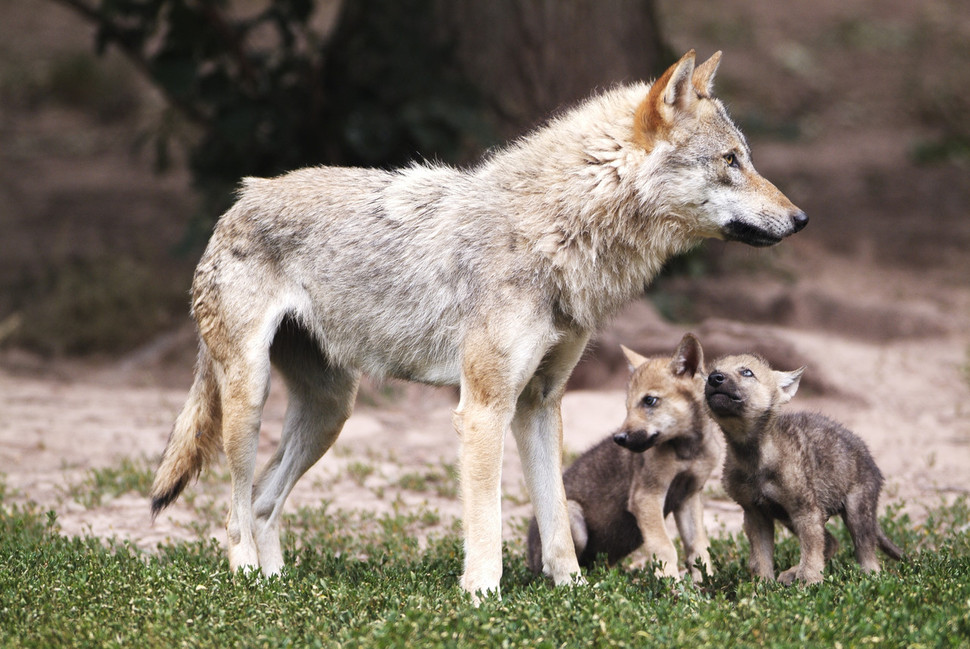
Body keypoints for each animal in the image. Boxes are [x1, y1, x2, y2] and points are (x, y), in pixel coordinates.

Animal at [524, 334, 716, 576]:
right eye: (627, 406)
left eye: (649, 400)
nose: (619, 438)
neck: (687, 451)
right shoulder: (646, 497)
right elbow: (665, 548)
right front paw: (670, 582)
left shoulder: (688, 496)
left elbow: (698, 547)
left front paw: (705, 583)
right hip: (574, 518)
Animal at [704, 354, 900, 584]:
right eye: (712, 370)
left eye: (747, 372)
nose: (714, 378)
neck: (753, 457)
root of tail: (871, 459)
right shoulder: (755, 513)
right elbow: (761, 557)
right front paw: (762, 586)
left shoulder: (806, 510)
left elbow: (811, 550)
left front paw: (810, 582)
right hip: (787, 516)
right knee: (832, 542)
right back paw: (790, 574)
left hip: (857, 510)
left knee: (868, 555)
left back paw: (869, 579)